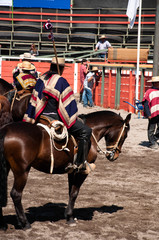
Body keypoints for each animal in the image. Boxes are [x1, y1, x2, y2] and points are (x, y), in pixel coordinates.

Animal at [0, 109, 130, 231]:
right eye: (125, 135)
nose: (114, 155)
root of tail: (5, 129)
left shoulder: (72, 172)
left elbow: (70, 192)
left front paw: (68, 215)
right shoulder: (81, 171)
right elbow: (74, 193)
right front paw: (70, 217)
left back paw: (3, 224)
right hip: (22, 171)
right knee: (16, 194)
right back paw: (25, 223)